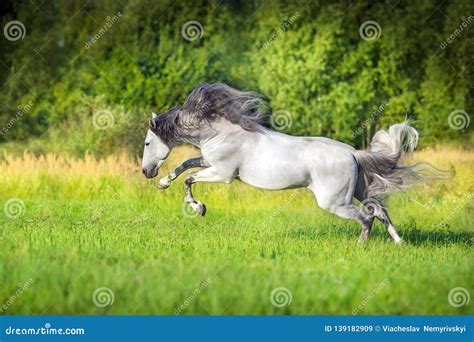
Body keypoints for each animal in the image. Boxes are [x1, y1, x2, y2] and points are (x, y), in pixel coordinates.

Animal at [143, 83, 424, 243]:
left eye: (146, 143)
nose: (146, 172)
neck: (220, 132)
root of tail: (353, 153)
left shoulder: (223, 174)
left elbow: (189, 178)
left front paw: (199, 208)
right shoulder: (209, 161)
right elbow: (186, 165)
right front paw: (163, 183)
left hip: (334, 202)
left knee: (366, 218)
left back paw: (361, 247)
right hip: (359, 191)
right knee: (380, 211)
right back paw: (399, 243)